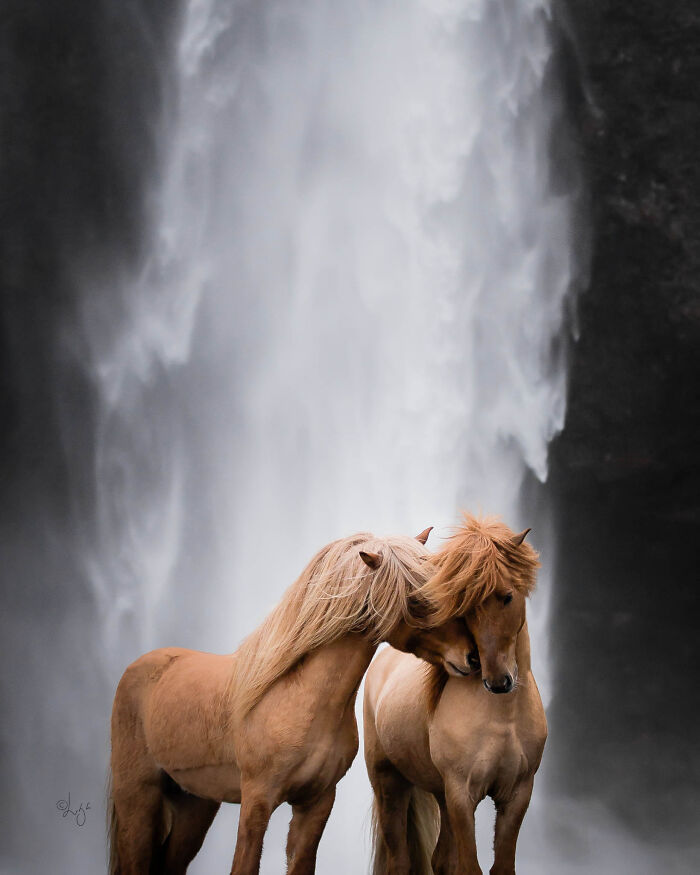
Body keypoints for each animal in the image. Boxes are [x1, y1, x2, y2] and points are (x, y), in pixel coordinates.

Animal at [108, 526, 483, 875]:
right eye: (416, 599)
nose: (473, 657)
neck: (299, 699)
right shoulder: (257, 801)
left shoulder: (315, 802)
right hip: (138, 798)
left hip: (194, 803)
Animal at [364, 515, 545, 875]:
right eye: (465, 605)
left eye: (507, 596)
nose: (498, 681)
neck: (503, 718)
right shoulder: (462, 795)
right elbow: (469, 866)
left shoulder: (517, 794)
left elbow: (500, 866)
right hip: (389, 783)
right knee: (400, 859)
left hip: (439, 794)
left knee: (440, 860)